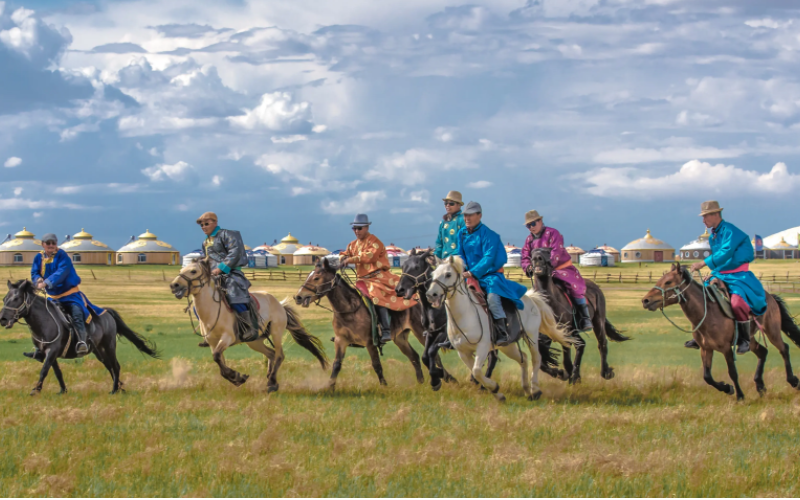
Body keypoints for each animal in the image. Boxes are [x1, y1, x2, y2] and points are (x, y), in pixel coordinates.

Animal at [0, 280, 159, 392]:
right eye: (4, 299)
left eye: (16, 298)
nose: (3, 319)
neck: (45, 322)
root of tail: (107, 312)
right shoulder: (49, 354)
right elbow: (57, 372)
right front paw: (63, 390)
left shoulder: (52, 351)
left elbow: (44, 370)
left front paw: (35, 390)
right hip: (98, 350)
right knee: (109, 366)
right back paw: (120, 387)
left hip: (109, 345)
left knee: (116, 366)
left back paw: (114, 390)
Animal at [170, 260, 330, 392]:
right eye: (181, 270)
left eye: (193, 271)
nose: (174, 285)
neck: (212, 311)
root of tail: (279, 304)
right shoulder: (213, 343)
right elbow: (219, 362)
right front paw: (237, 378)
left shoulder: (227, 337)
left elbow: (217, 357)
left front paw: (236, 376)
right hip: (255, 341)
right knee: (271, 353)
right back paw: (271, 380)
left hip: (276, 332)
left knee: (279, 355)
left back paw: (272, 382)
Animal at [294, 258, 432, 390]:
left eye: (316, 278)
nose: (298, 297)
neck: (350, 310)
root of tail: (417, 299)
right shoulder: (340, 341)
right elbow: (337, 365)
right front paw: (330, 387)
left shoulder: (370, 342)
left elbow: (377, 365)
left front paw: (384, 386)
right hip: (400, 338)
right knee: (414, 357)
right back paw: (421, 383)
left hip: (420, 332)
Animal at [532, 246, 632, 382]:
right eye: (532, 252)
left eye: (547, 251)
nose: (537, 258)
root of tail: (595, 286)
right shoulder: (545, 335)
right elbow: (542, 359)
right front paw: (560, 373)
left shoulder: (565, 331)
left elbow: (567, 354)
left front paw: (568, 373)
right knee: (580, 345)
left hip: (597, 321)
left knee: (601, 344)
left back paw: (604, 372)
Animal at [640, 262, 800, 398]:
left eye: (668, 282)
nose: (645, 300)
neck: (708, 314)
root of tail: (770, 297)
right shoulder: (706, 349)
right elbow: (707, 376)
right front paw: (727, 388)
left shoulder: (726, 348)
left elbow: (732, 372)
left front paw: (740, 395)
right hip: (750, 339)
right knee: (763, 352)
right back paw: (760, 386)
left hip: (772, 331)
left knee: (784, 349)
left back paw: (793, 381)